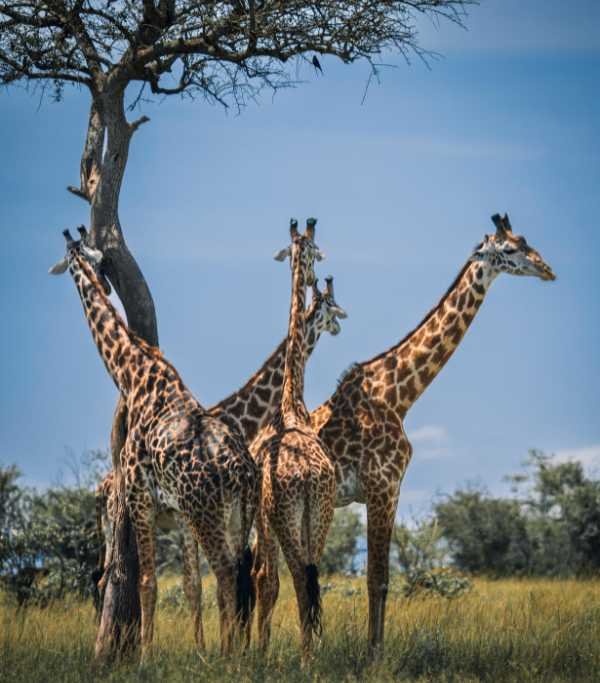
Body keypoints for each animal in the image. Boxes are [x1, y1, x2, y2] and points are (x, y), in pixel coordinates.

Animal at [50, 227, 258, 658]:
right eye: (98, 261)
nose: (104, 282)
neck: (133, 374)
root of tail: (241, 470)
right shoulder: (172, 511)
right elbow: (189, 585)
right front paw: (190, 652)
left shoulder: (140, 497)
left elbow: (148, 582)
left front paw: (145, 658)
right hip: (239, 514)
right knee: (239, 573)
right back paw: (237, 654)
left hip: (205, 511)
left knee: (225, 571)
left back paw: (228, 657)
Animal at [93, 276, 347, 646]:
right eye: (331, 305)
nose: (341, 322)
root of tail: (101, 488)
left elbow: (203, 585)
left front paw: (209, 646)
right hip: (121, 520)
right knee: (108, 578)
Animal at [253, 213, 556, 656]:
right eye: (510, 249)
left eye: (526, 241)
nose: (547, 269)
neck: (398, 395)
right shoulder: (382, 487)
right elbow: (375, 579)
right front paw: (373, 656)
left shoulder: (390, 490)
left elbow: (379, 580)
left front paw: (372, 650)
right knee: (266, 575)